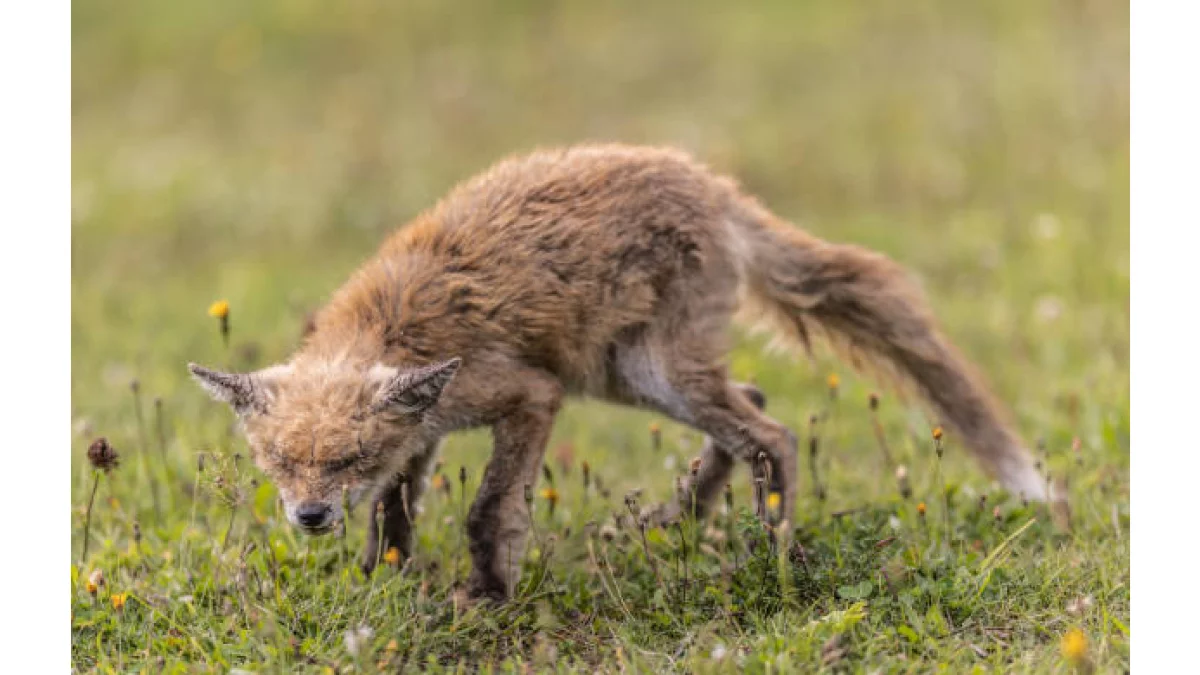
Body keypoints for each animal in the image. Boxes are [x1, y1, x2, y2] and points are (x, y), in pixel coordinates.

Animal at [192, 140, 1046, 598]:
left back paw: (771, 549)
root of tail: (712, 181)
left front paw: (488, 594)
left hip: (649, 370)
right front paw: (388, 576)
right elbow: (395, 509)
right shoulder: (425, 422)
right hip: (630, 376)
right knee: (751, 405)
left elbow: (488, 508)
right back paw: (687, 516)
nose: (309, 516)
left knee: (772, 433)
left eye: (348, 457)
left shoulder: (526, 395)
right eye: (280, 463)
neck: (392, 326)